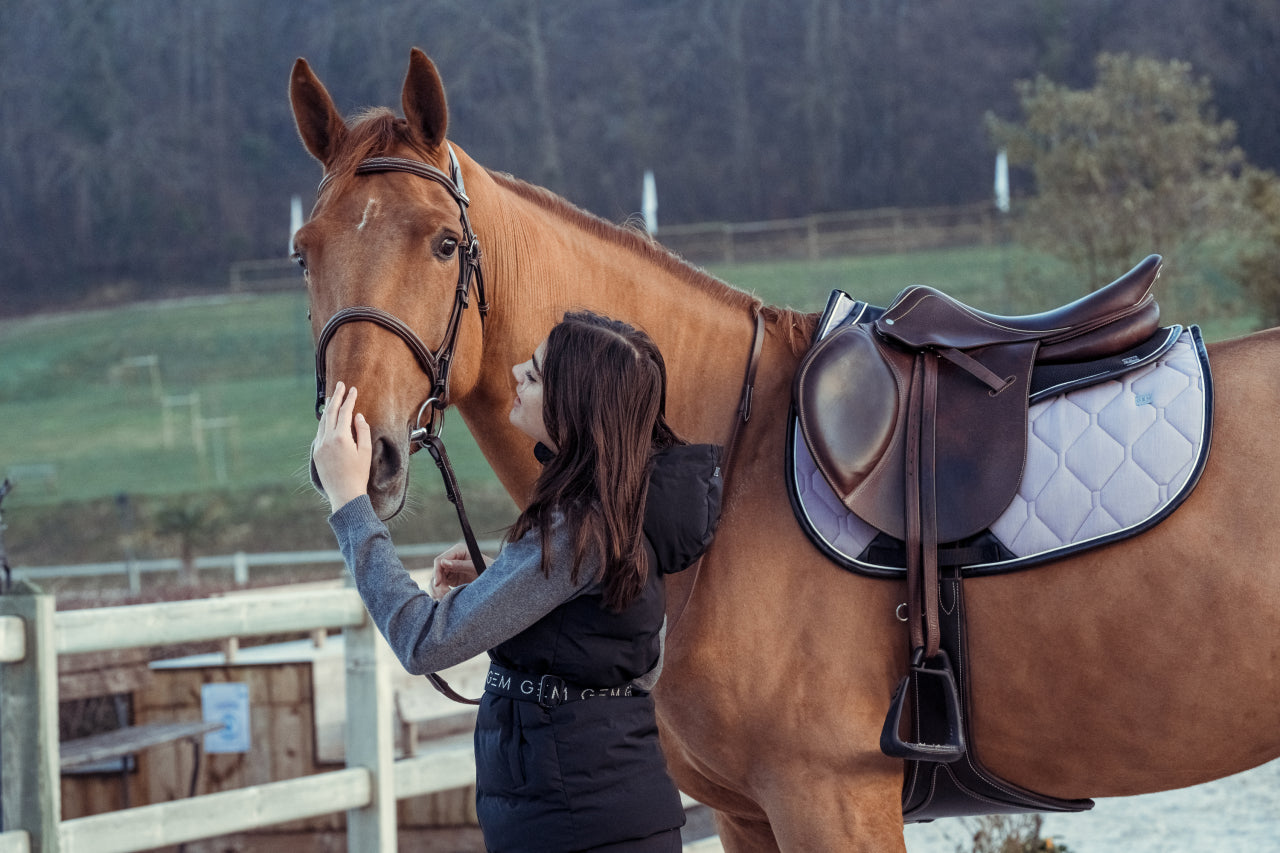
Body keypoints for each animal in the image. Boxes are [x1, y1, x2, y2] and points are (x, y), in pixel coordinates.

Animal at [290, 49, 1280, 845]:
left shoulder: (830, 799)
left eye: (443, 243)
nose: (364, 452)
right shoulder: (745, 813)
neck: (728, 460)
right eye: (304, 251)